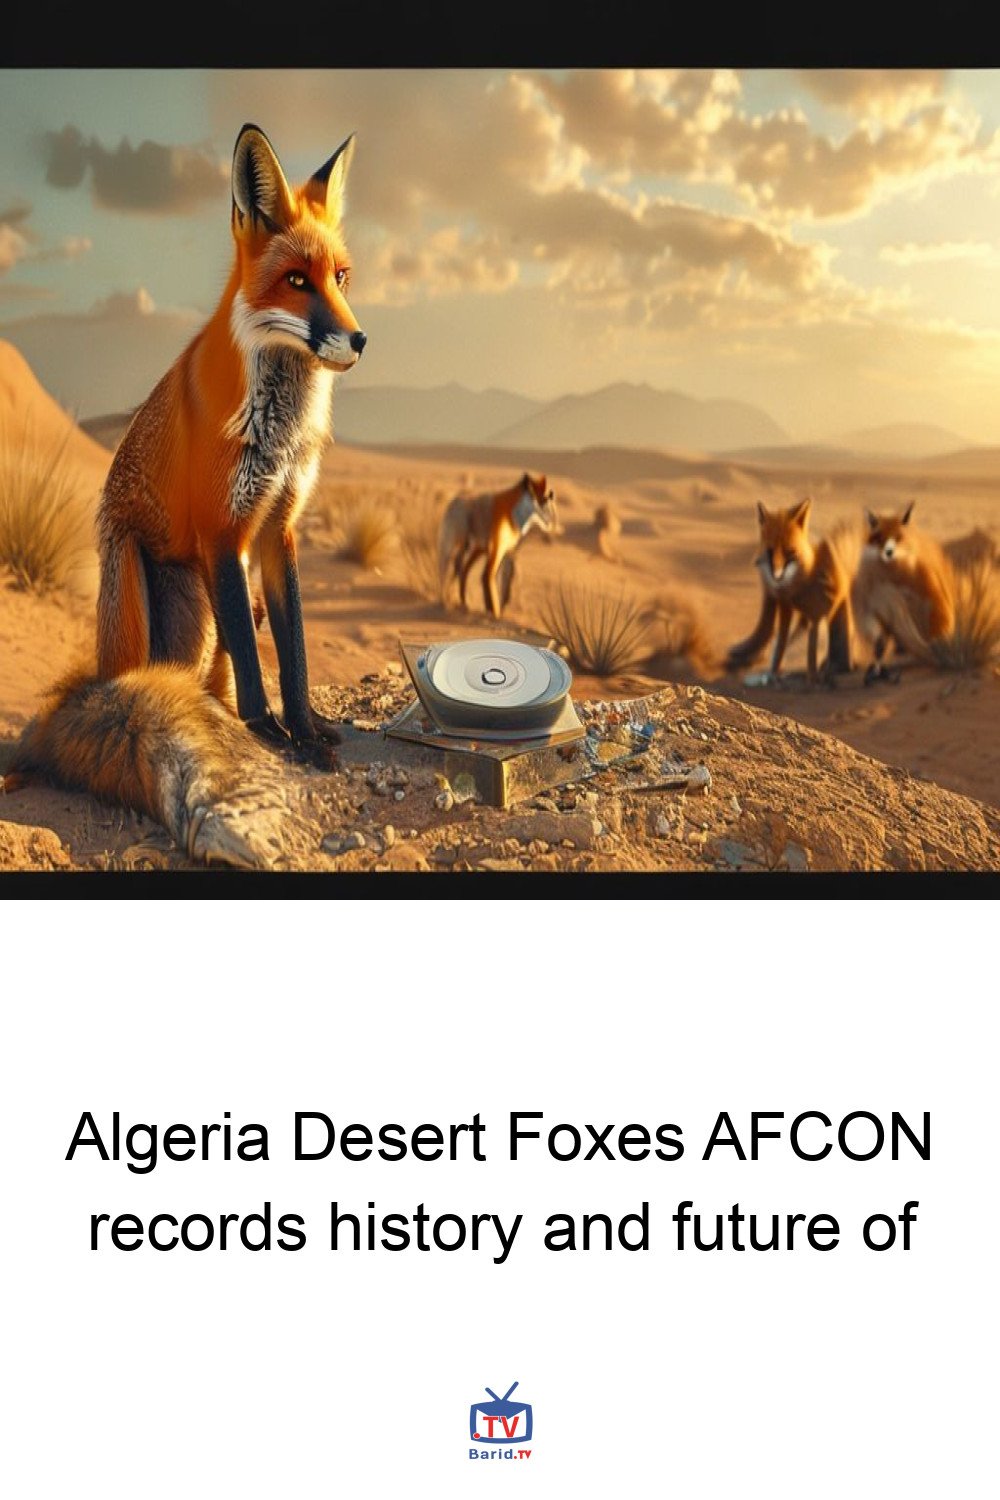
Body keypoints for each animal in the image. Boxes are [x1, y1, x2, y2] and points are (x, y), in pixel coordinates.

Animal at [2, 123, 367, 861]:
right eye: (296, 281)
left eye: (341, 278)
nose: (359, 339)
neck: (279, 428)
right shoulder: (222, 530)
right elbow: (258, 669)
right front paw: (271, 735)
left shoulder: (278, 529)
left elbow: (293, 649)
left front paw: (306, 727)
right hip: (142, 599)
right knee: (136, 687)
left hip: (204, 614)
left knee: (214, 677)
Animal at [438, 473, 557, 618]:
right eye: (547, 500)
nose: (552, 524)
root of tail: (454, 502)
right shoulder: (496, 549)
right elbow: (489, 577)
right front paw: (493, 611)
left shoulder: (505, 551)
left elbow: (505, 581)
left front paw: (498, 609)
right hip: (458, 545)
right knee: (451, 568)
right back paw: (450, 602)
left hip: (468, 547)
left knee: (458, 568)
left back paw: (457, 601)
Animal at [725, 498, 858, 682]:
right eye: (770, 551)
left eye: (789, 552)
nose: (776, 576)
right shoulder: (785, 606)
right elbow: (780, 643)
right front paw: (774, 673)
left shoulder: (815, 614)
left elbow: (810, 651)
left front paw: (813, 678)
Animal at [852, 502, 956, 679]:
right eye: (879, 538)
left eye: (897, 537)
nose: (888, 552)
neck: (894, 578)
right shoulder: (870, 605)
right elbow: (878, 642)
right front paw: (877, 668)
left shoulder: (933, 601)